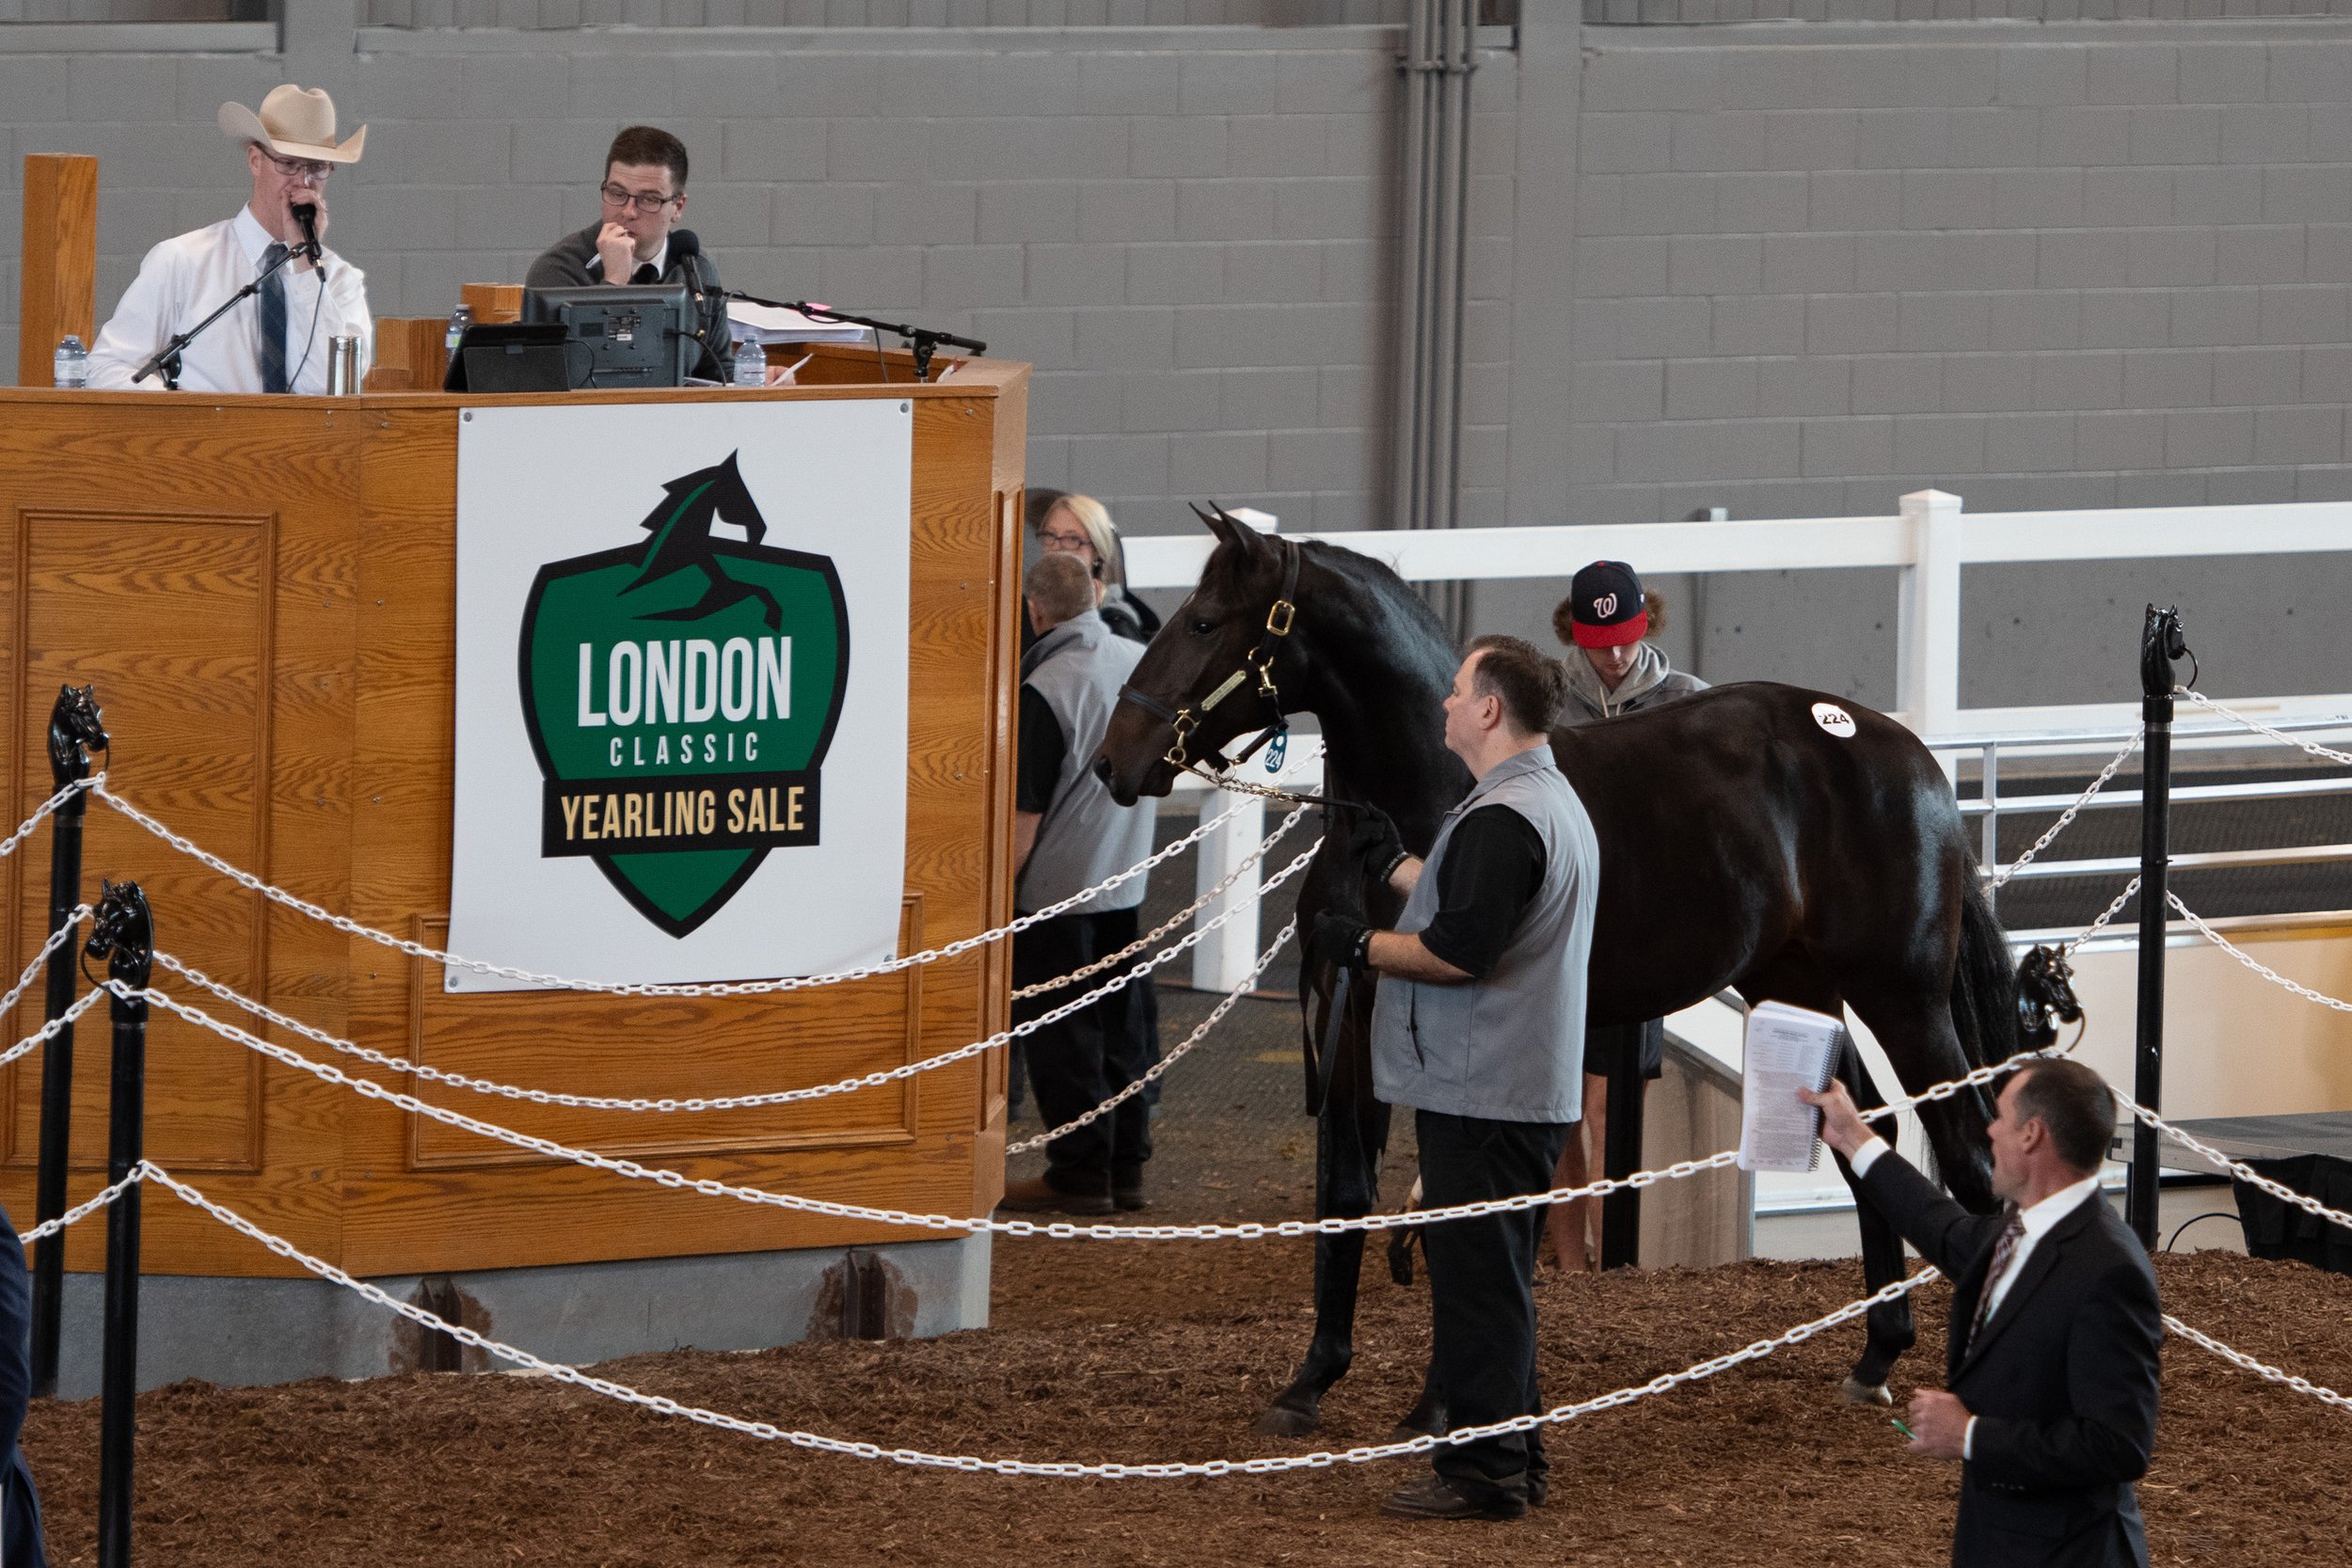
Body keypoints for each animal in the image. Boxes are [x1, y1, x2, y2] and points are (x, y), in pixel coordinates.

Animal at [1091, 512, 2013, 1438]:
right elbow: (1346, 1195)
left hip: (1904, 996)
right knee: (1870, 1131)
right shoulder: (1348, 1024)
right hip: (1795, 986)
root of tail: (1912, 756)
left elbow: (1468, 1207)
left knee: (1969, 1154)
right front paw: (1311, 1381)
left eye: (1204, 621)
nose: (1112, 759)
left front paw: (1440, 1402)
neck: (1429, 801)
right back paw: (1876, 1353)